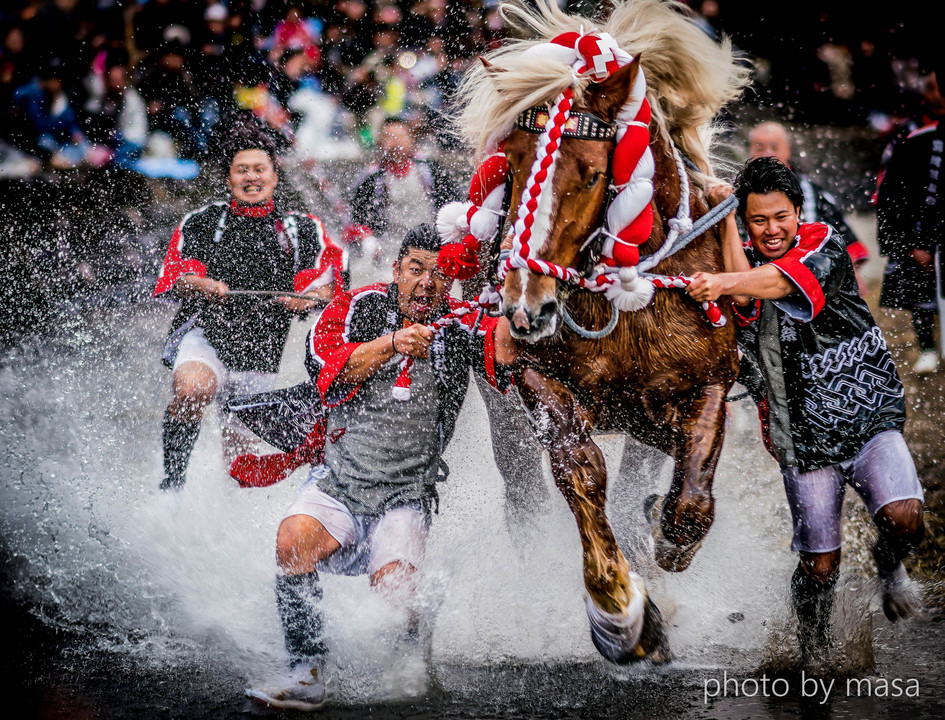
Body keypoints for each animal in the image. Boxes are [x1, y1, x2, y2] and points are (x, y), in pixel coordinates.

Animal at [446, 1, 748, 664]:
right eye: (510, 164)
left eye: (588, 174)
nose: (526, 308)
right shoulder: (533, 371)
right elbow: (579, 469)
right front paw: (618, 608)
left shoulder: (709, 377)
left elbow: (691, 495)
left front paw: (666, 539)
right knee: (524, 493)